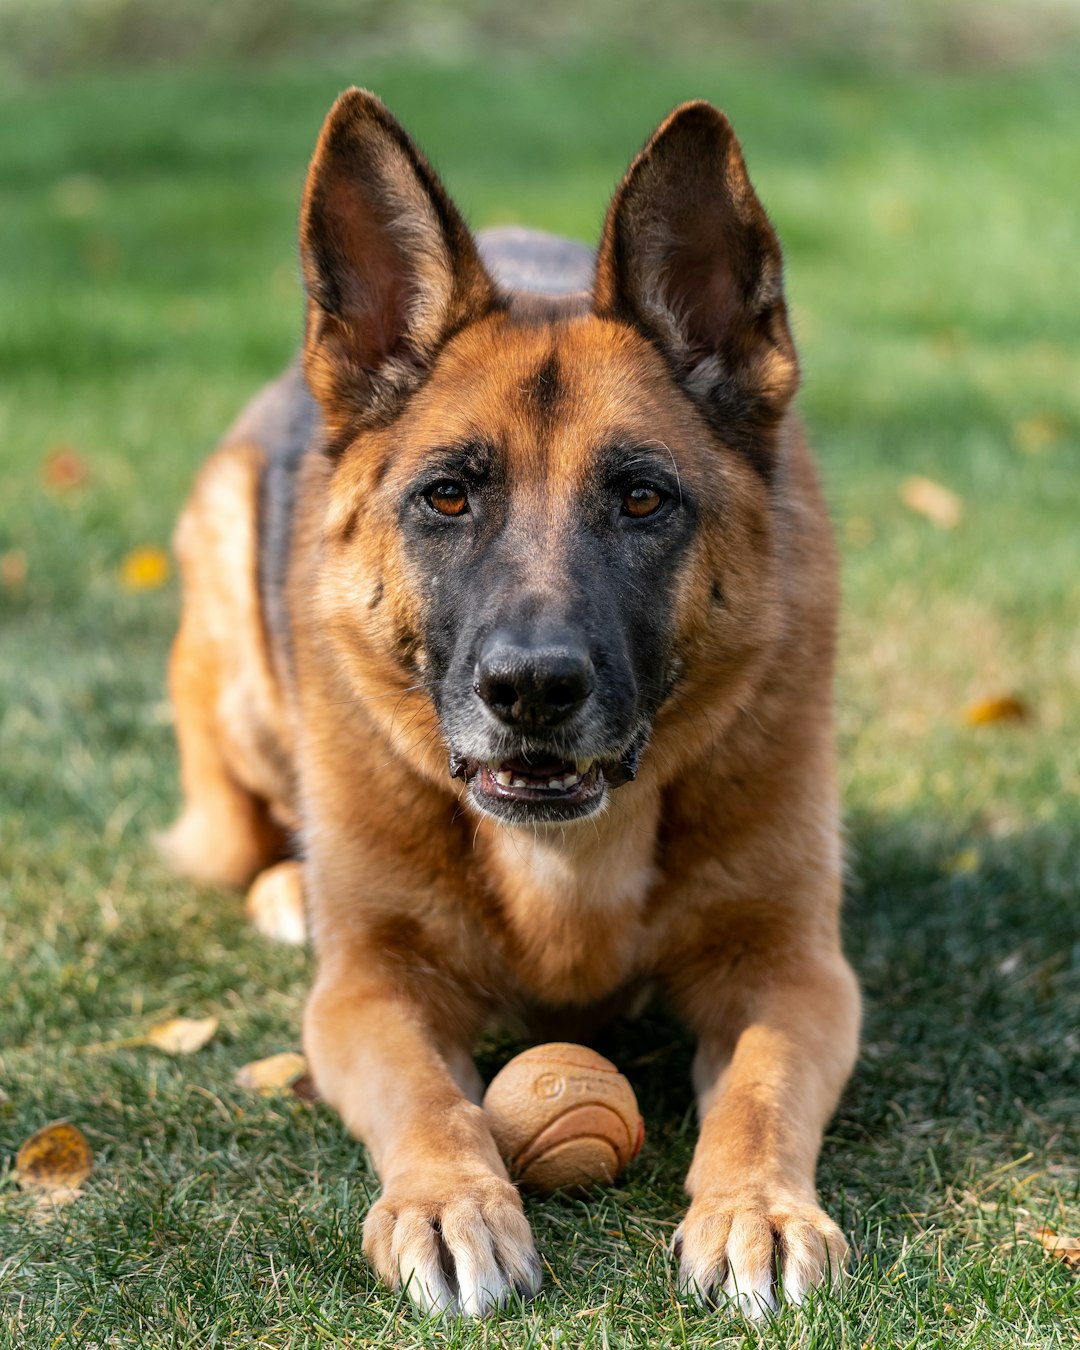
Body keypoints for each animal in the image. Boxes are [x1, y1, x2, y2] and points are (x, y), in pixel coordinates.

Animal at [160, 92, 858, 1317]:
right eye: (447, 496)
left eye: (642, 499)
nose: (531, 689)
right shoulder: (369, 991)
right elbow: (426, 1098)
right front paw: (450, 1204)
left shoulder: (793, 970)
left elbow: (762, 1089)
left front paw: (759, 1211)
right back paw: (287, 886)